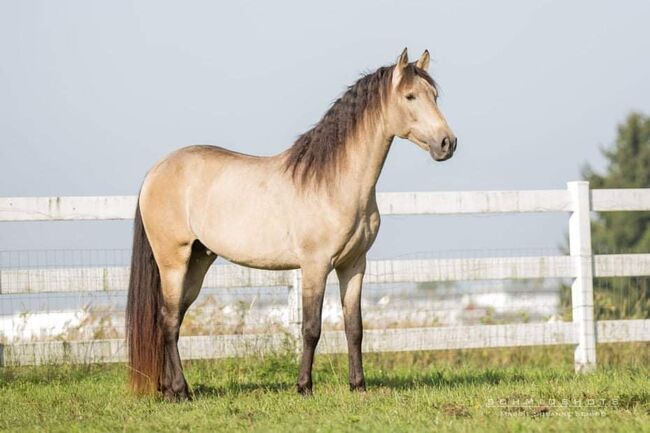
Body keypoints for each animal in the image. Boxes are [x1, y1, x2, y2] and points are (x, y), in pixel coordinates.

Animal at [125, 49, 456, 400]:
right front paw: (304, 386)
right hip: (173, 261)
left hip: (198, 261)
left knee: (172, 319)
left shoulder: (354, 265)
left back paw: (169, 390)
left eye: (434, 96)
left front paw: (358, 385)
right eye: (410, 96)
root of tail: (156, 171)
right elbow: (311, 328)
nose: (447, 143)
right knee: (168, 321)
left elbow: (355, 327)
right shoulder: (315, 266)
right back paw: (181, 391)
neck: (334, 184)